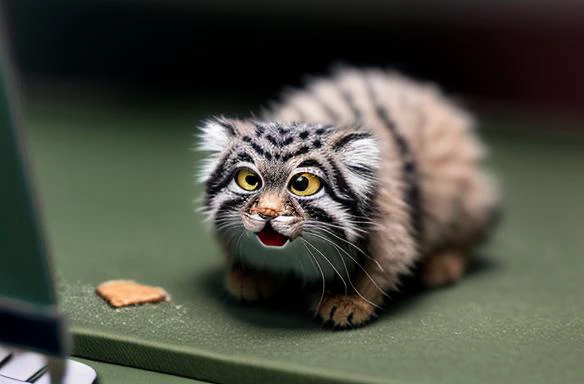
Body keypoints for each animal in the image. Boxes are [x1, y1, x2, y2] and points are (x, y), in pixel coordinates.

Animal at [198, 68, 500, 328]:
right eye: (249, 180)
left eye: (302, 184)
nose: (267, 213)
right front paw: (250, 276)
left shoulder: (390, 232)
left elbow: (380, 270)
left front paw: (349, 302)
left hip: (470, 203)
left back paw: (443, 263)